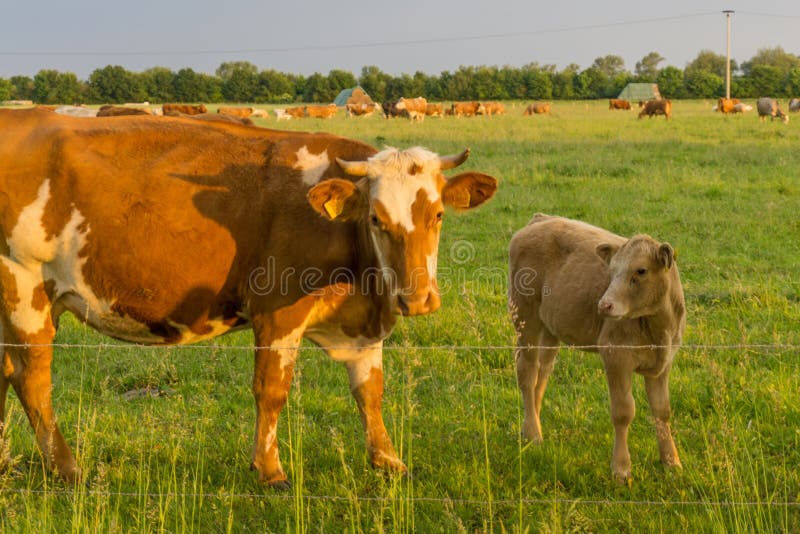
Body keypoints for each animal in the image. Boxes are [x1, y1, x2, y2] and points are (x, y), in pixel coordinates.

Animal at [0, 108, 500, 490]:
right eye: (377, 218)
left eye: (438, 214)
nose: (417, 299)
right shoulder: (279, 311)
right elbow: (272, 390)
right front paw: (270, 470)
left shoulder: (363, 319)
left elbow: (370, 391)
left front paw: (388, 460)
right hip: (26, 286)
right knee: (32, 379)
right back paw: (67, 469)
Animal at [510, 215, 684, 486]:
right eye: (611, 272)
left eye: (641, 271)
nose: (604, 305)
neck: (658, 329)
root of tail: (541, 219)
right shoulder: (615, 356)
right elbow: (623, 412)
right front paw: (621, 469)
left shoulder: (663, 363)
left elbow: (662, 410)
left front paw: (671, 461)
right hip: (525, 316)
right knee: (527, 372)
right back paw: (533, 434)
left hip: (550, 327)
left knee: (542, 373)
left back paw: (532, 425)